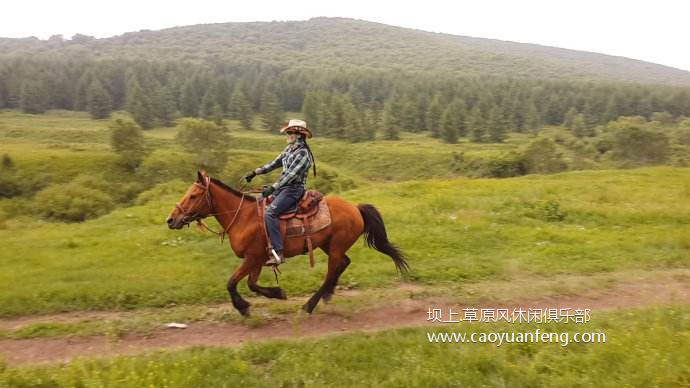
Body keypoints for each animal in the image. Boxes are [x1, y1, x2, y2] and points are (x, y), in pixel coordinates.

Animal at [165, 171, 408, 316]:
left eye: (193, 195)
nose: (171, 220)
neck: (244, 217)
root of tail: (355, 208)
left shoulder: (253, 258)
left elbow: (232, 282)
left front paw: (244, 307)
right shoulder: (257, 259)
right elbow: (251, 284)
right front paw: (276, 294)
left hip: (336, 246)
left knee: (332, 270)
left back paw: (310, 305)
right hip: (328, 245)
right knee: (343, 264)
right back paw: (327, 295)